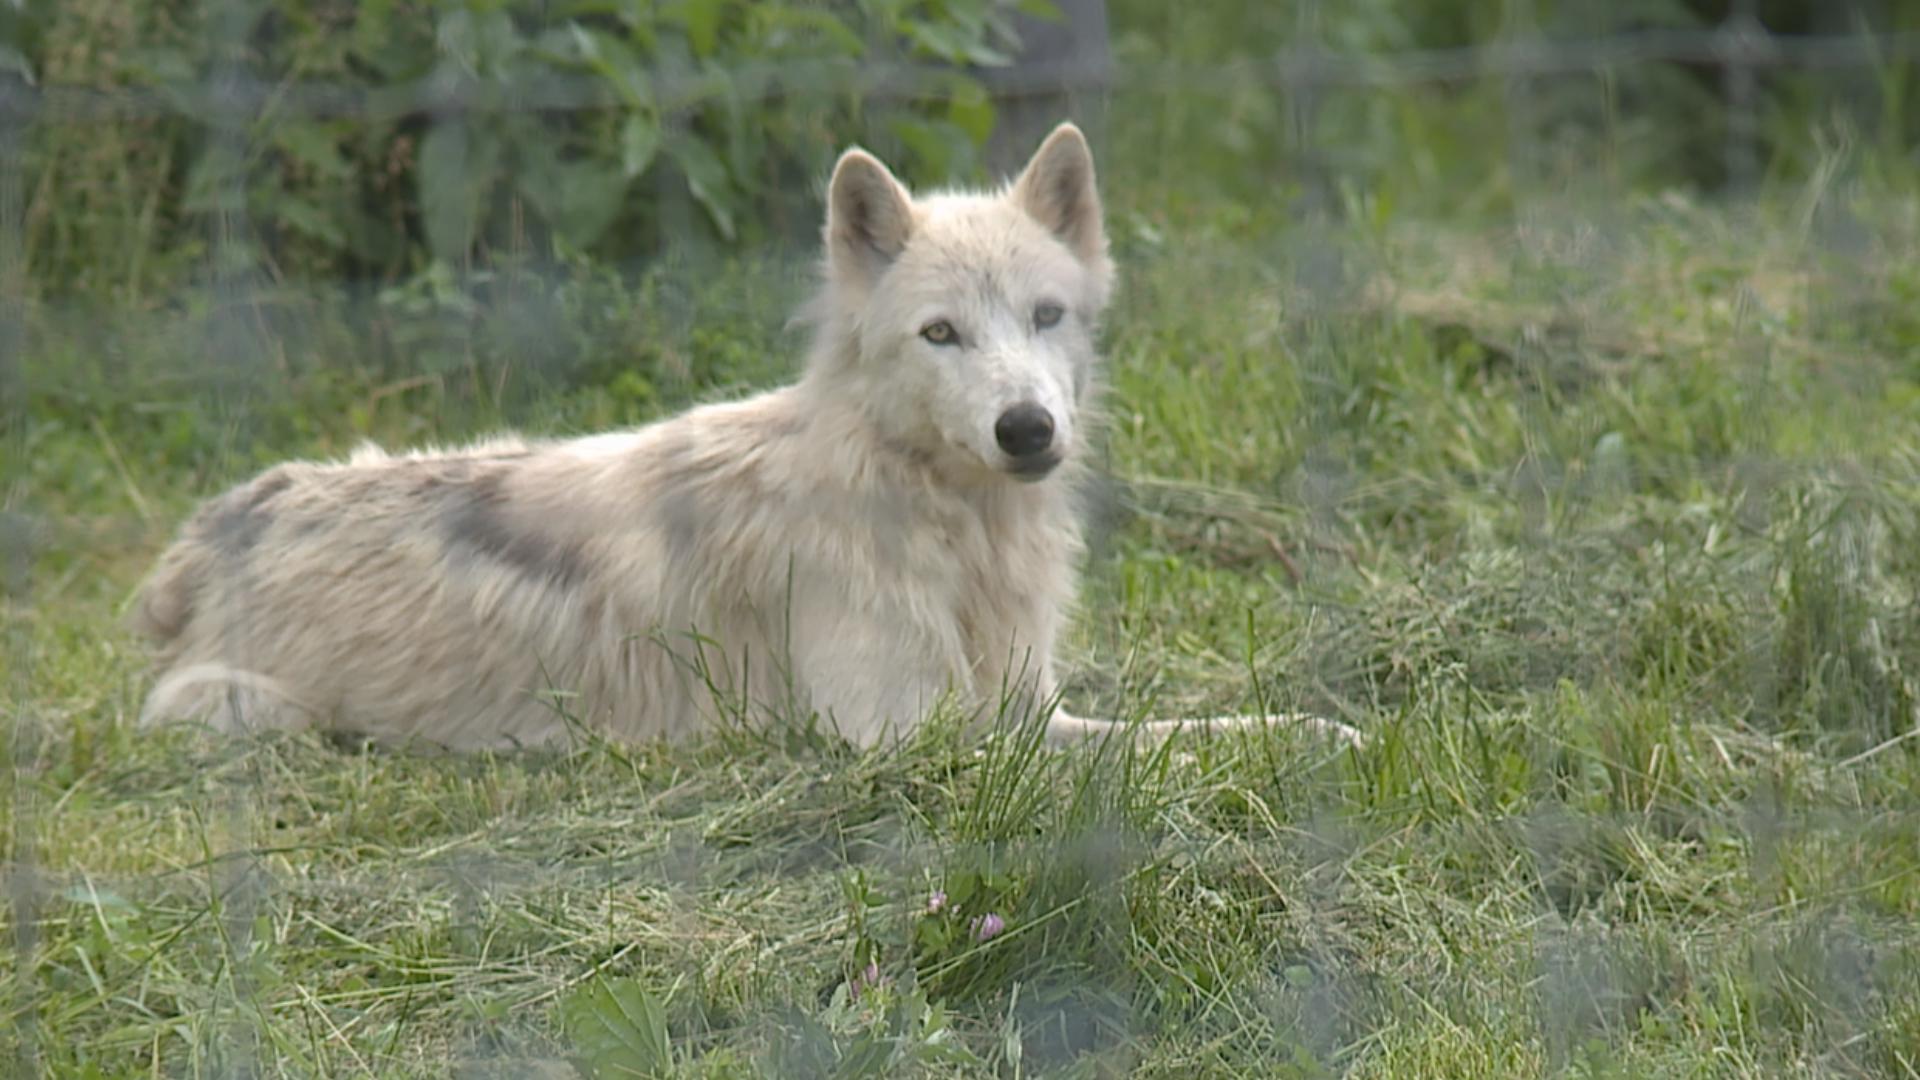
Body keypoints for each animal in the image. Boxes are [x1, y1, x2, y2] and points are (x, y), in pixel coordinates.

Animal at [135, 123, 1359, 749]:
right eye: (942, 333)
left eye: (1046, 316)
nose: (1026, 429)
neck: (938, 522)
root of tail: (219, 521)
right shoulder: (912, 738)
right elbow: (1143, 761)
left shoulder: (1031, 703)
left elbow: (1196, 728)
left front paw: (1312, 732)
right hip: (239, 712)